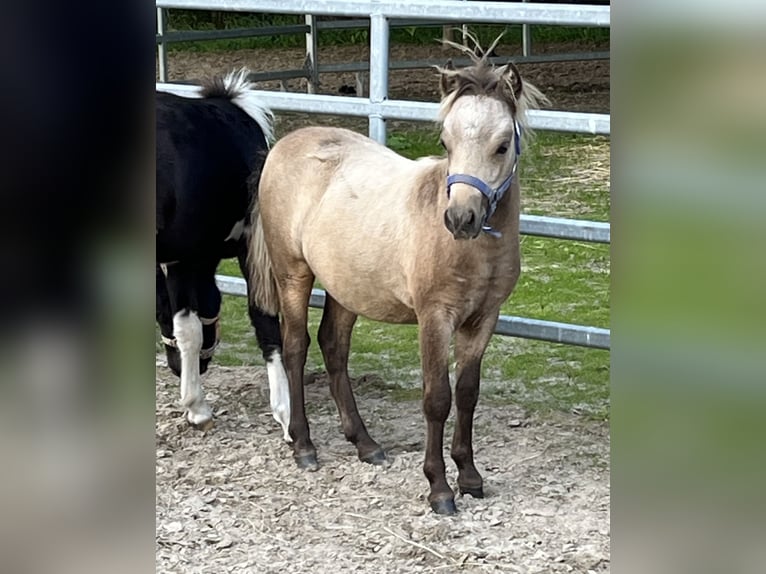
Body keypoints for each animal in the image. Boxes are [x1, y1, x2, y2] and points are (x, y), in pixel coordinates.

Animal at [248, 38, 549, 514]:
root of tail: (284, 146)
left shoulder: (484, 318)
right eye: (446, 142)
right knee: (295, 347)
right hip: (293, 274)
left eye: (502, 146)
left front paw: (470, 477)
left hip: (346, 287)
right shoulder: (434, 318)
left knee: (333, 346)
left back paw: (365, 443)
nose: (460, 218)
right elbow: (437, 399)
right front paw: (439, 488)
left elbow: (467, 393)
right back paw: (304, 446)